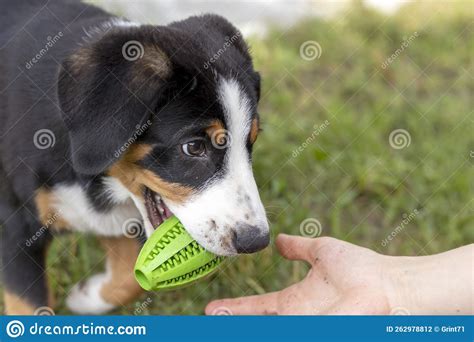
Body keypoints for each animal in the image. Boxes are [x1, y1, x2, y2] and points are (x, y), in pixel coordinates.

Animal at [0, 0, 268, 316]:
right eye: (193, 147)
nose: (256, 241)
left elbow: (131, 278)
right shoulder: (14, 225)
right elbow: (29, 307)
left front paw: (85, 296)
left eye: (252, 140)